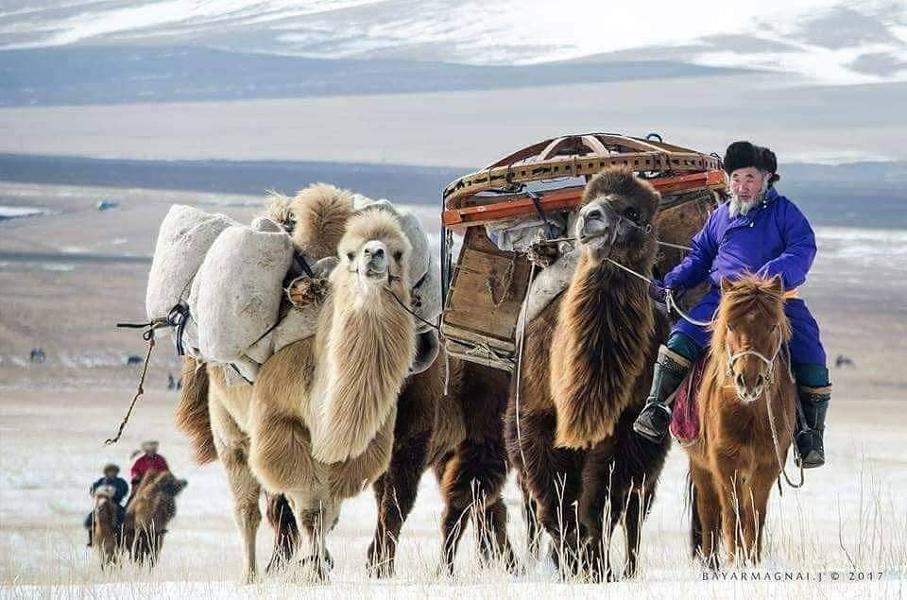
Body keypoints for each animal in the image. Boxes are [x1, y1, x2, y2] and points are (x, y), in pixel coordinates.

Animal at [505, 168, 671, 580]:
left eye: (633, 211)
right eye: (587, 201)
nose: (591, 218)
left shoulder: (626, 427)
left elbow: (601, 503)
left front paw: (595, 566)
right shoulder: (536, 420)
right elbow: (555, 500)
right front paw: (570, 561)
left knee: (634, 511)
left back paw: (625, 568)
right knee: (533, 506)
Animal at [686, 274, 797, 567]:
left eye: (772, 326)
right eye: (730, 325)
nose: (748, 381)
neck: (749, 413)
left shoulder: (767, 465)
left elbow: (754, 516)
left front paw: (752, 562)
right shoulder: (725, 464)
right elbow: (731, 515)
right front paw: (734, 562)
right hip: (700, 465)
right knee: (708, 511)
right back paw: (710, 561)